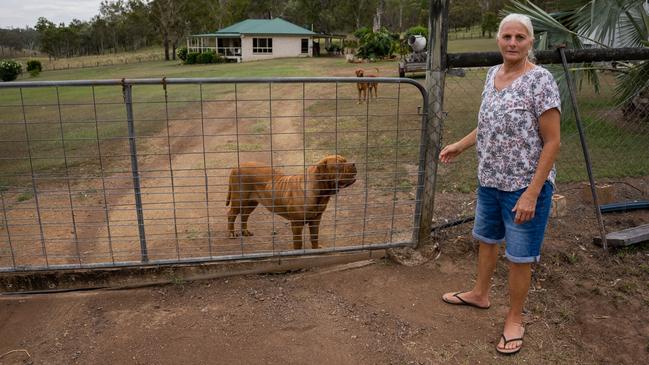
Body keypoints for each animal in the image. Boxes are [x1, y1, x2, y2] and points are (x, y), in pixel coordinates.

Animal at [225, 155, 356, 249]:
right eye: (339, 164)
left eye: (345, 160)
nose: (354, 163)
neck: (320, 193)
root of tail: (236, 167)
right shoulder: (297, 223)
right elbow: (298, 242)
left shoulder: (316, 219)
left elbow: (314, 236)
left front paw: (316, 249)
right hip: (239, 200)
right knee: (231, 214)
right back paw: (231, 234)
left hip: (252, 202)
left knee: (244, 215)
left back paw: (245, 232)